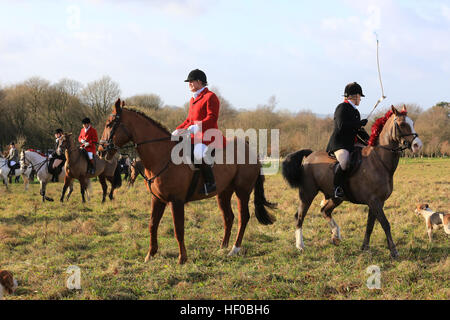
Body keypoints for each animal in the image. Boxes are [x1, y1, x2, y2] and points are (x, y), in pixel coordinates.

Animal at [96, 99, 276, 264]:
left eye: (110, 124)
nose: (100, 151)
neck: (162, 156)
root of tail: (249, 147)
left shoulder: (176, 201)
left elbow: (179, 229)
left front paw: (182, 258)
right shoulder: (157, 199)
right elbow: (152, 225)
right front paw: (150, 255)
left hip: (242, 191)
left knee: (243, 217)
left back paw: (234, 249)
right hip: (224, 192)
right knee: (228, 217)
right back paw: (222, 247)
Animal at [284, 106, 424, 258]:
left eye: (412, 123)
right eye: (402, 124)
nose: (418, 145)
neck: (379, 161)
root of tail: (310, 155)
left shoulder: (377, 202)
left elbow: (370, 225)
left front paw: (365, 247)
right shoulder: (374, 201)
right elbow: (385, 224)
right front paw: (393, 251)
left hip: (336, 197)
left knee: (325, 211)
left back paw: (336, 236)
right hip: (307, 193)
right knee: (300, 216)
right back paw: (300, 245)